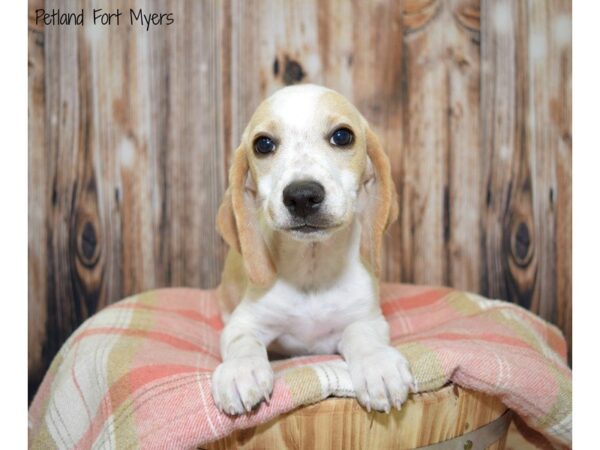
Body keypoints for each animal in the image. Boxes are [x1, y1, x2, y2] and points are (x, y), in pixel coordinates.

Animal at [213, 83, 414, 414]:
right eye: (263, 144)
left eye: (342, 136)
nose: (302, 196)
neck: (312, 266)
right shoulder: (246, 321)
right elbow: (243, 342)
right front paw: (241, 371)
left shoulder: (367, 319)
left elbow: (363, 336)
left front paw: (378, 365)